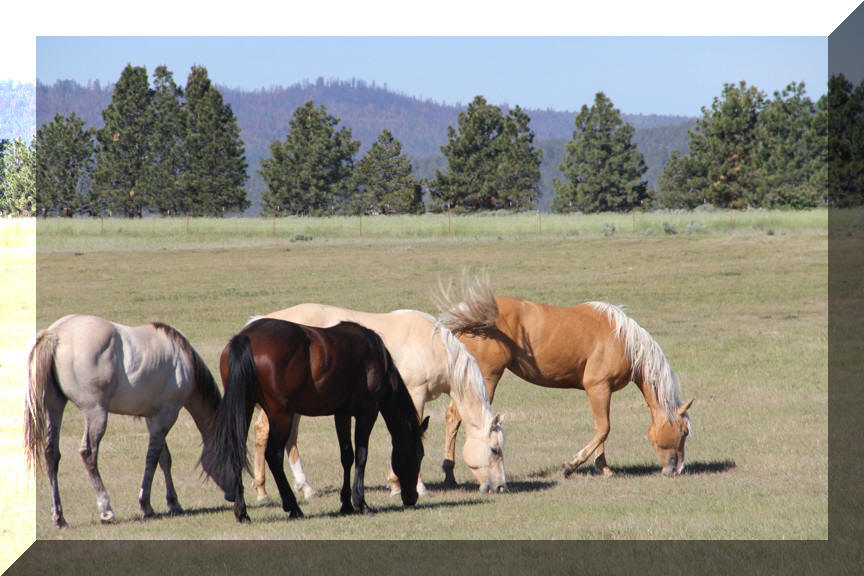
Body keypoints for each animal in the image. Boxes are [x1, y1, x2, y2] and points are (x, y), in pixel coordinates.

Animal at [24, 314, 222, 528]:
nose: (233, 495)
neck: (184, 362)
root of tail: (56, 334)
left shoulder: (154, 419)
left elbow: (164, 459)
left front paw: (173, 503)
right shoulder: (166, 417)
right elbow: (152, 459)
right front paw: (146, 505)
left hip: (55, 408)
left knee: (51, 454)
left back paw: (59, 517)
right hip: (96, 414)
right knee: (88, 454)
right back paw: (106, 510)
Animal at [200, 318, 429, 523]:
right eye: (419, 454)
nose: (412, 498)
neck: (374, 356)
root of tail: (246, 337)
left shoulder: (342, 414)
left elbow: (347, 455)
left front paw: (346, 504)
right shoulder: (367, 413)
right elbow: (362, 455)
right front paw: (361, 503)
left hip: (245, 408)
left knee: (236, 451)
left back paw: (243, 512)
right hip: (281, 416)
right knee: (273, 455)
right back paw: (293, 507)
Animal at [249, 304, 507, 500]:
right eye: (494, 449)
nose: (501, 486)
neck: (433, 344)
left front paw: (395, 484)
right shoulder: (415, 395)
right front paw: (415, 486)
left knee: (289, 440)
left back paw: (305, 488)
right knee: (263, 433)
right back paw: (262, 492)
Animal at [435, 273, 693, 480]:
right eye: (684, 432)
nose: (677, 469)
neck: (622, 339)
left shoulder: (601, 391)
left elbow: (599, 428)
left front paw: (603, 467)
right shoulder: (598, 387)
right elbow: (604, 428)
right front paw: (571, 465)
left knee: (452, 417)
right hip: (486, 379)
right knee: (460, 418)